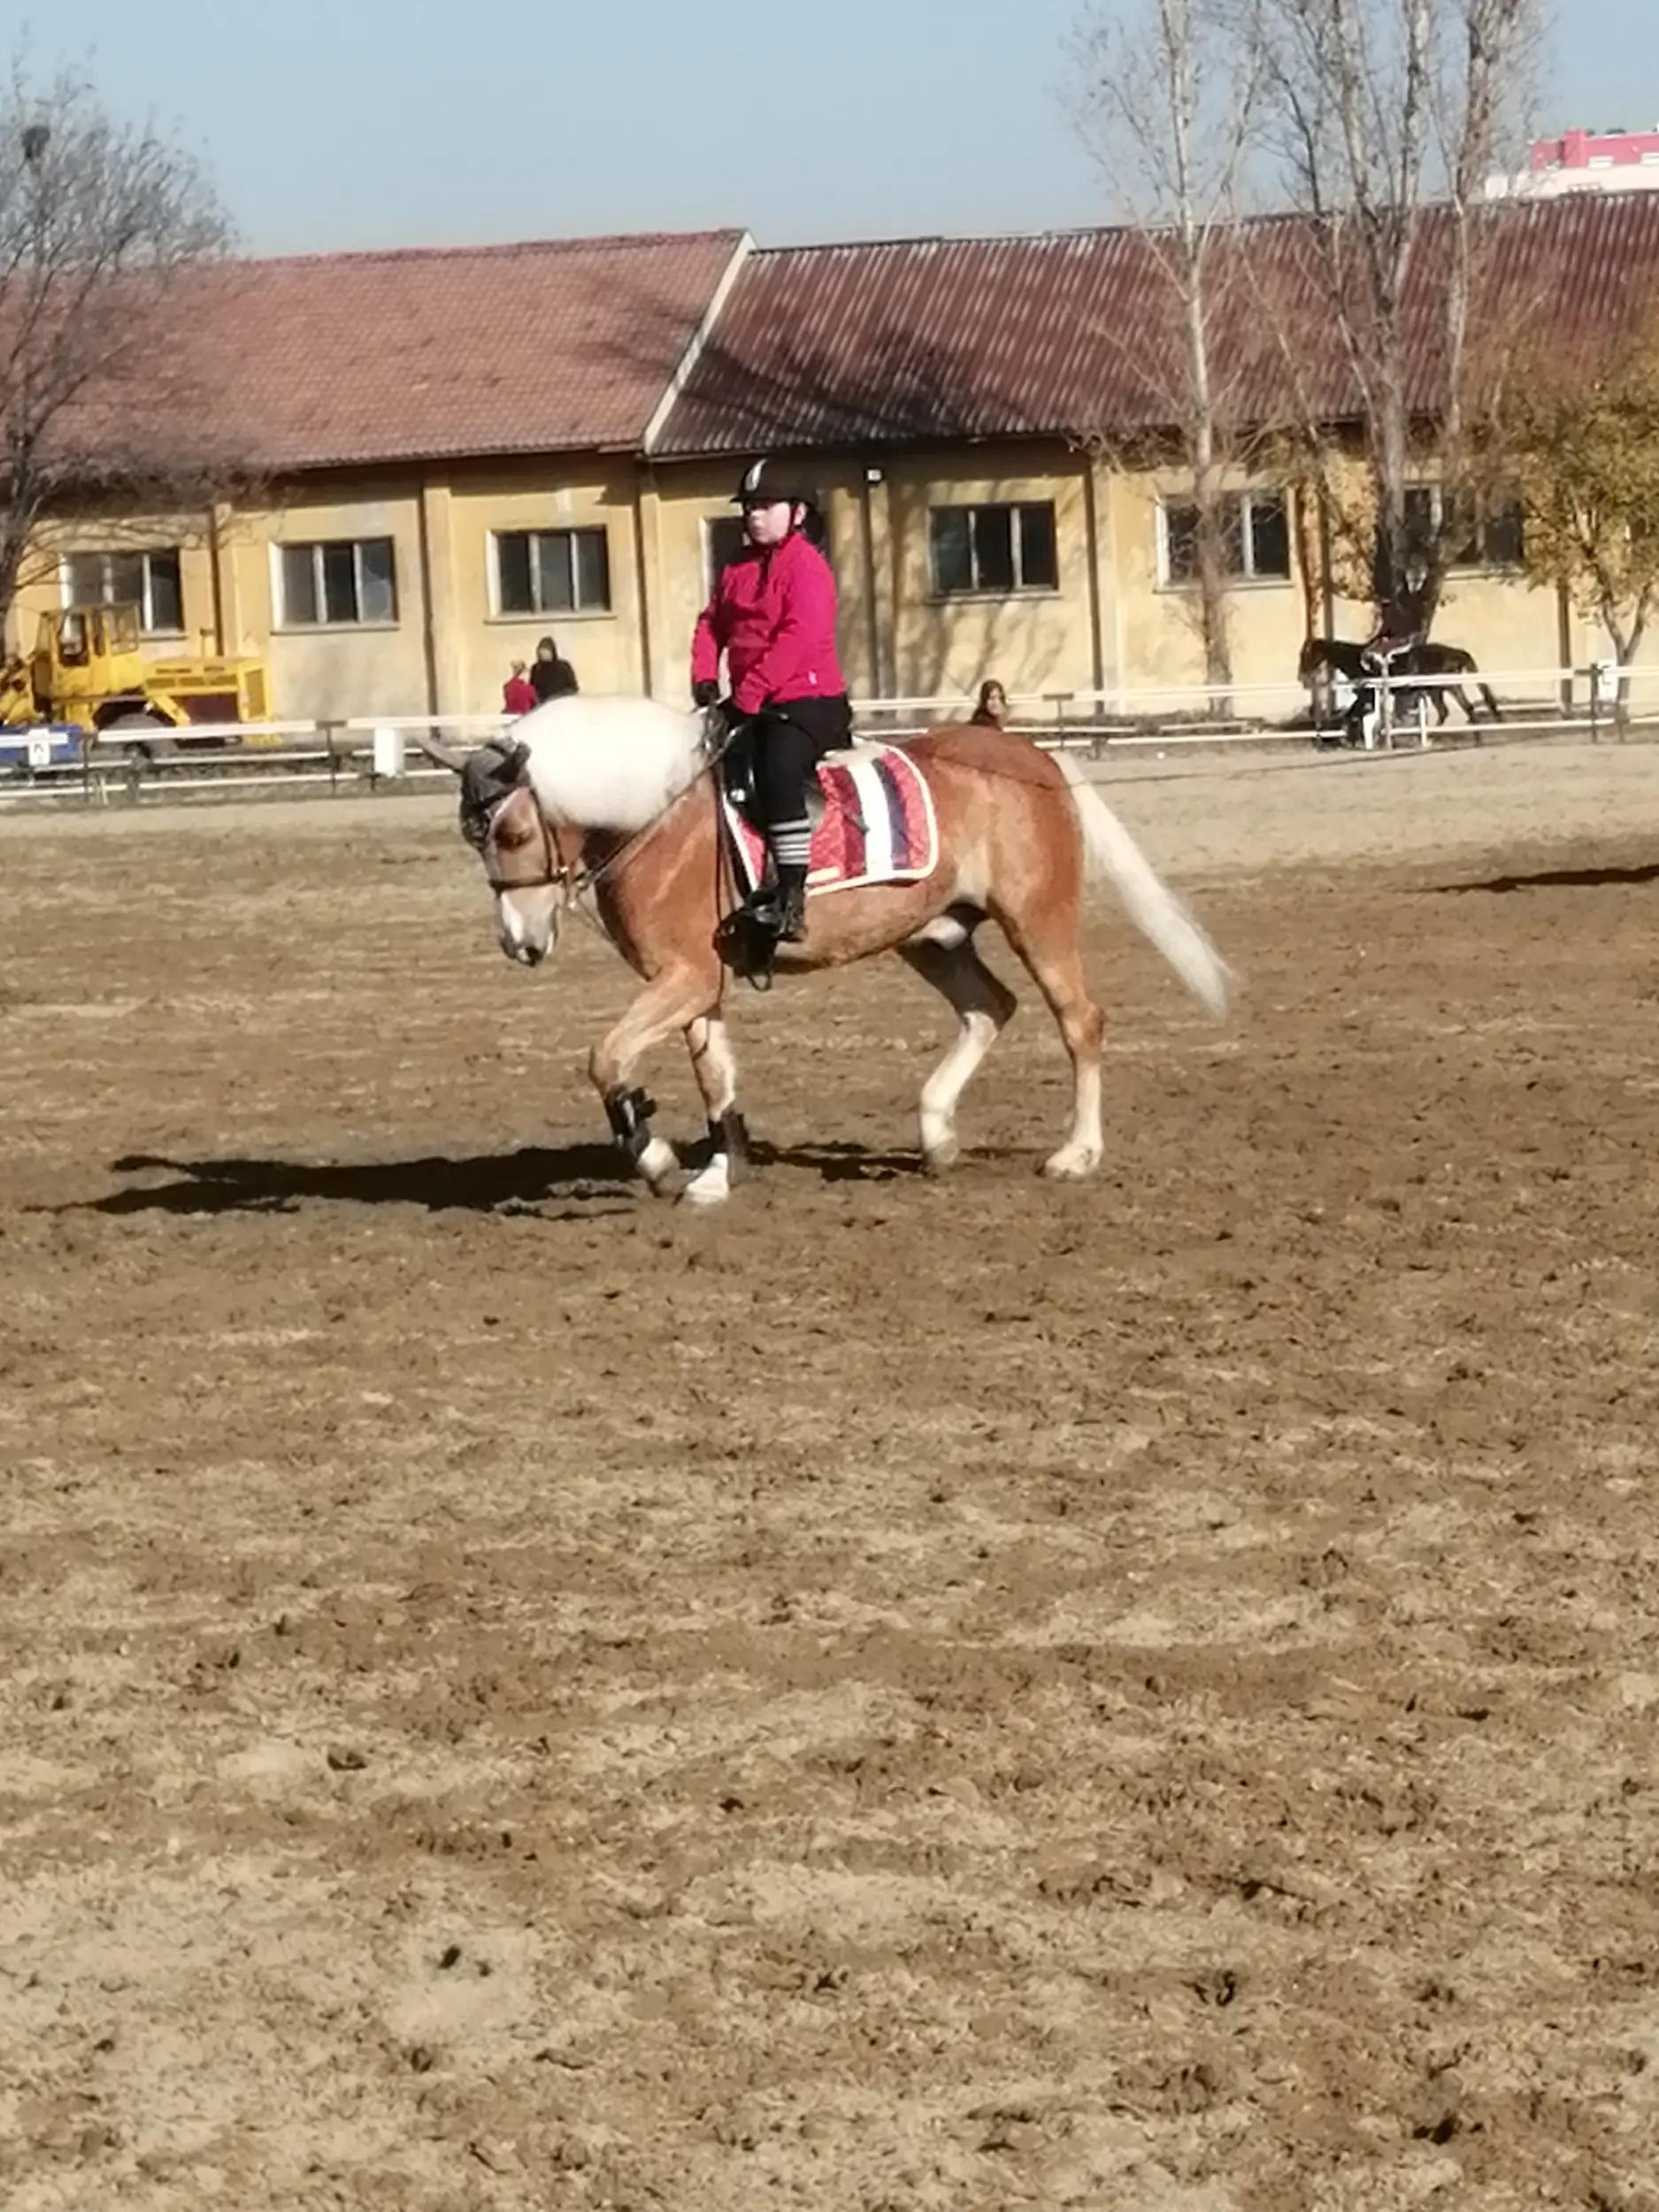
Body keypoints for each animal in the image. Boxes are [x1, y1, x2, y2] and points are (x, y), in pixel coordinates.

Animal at [422, 695, 1230, 1203]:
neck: (661, 813)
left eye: (513, 833)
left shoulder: (683, 977)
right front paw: (719, 1172)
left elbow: (606, 1058)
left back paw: (1076, 1155)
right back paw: (936, 1135)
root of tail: (1029, 757)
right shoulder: (694, 982)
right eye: (472, 835)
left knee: (1079, 1022)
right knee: (987, 1007)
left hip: (1037, 919)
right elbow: (714, 1076)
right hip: (932, 934)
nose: (518, 942)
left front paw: (650, 1154)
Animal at [1301, 637, 1504, 730]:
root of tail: (1457, 653)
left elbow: (1351, 714)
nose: (1302, 675)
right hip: (1443, 689)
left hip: (1442, 687)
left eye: (1305, 654)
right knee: (1462, 709)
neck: (1357, 659)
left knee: (1453, 710)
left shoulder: (1367, 694)